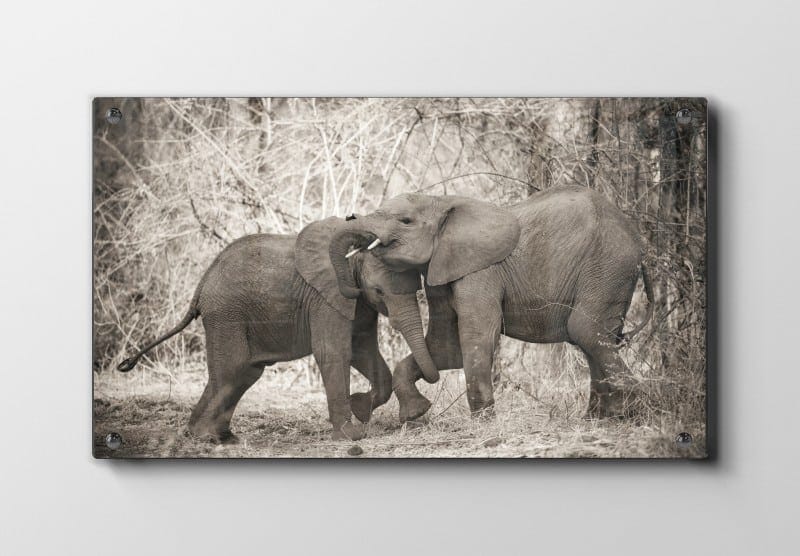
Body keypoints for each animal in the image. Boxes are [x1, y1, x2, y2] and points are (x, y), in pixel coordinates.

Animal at [116, 217, 438, 443]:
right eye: (379, 291)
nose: (421, 408)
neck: (350, 253)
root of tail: (202, 284)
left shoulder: (355, 303)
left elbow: (363, 350)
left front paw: (361, 407)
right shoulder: (326, 296)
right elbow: (334, 352)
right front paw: (351, 434)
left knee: (244, 373)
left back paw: (217, 437)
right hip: (226, 315)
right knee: (232, 370)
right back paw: (207, 437)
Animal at [329, 185, 653, 422]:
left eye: (405, 221)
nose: (350, 218)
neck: (441, 201)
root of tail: (640, 244)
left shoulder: (479, 270)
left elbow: (476, 332)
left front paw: (482, 420)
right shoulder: (443, 268)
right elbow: (444, 347)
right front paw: (416, 414)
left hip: (608, 266)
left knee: (584, 329)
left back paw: (632, 412)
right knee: (591, 337)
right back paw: (601, 418)